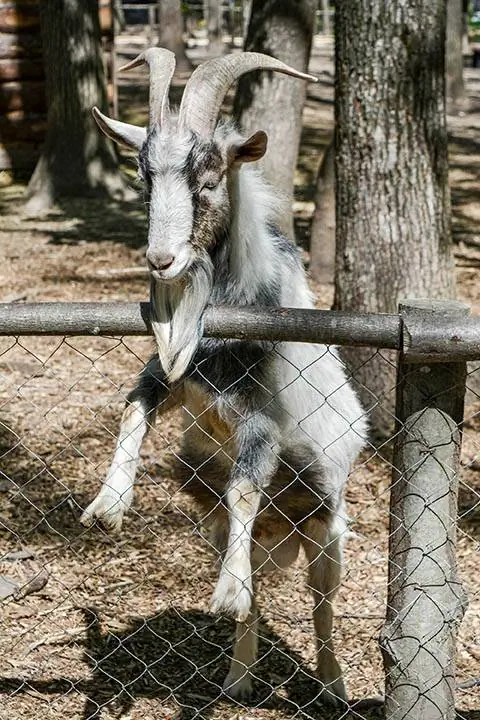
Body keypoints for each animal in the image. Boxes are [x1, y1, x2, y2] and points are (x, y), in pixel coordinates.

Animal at [81, 49, 368, 704]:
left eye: (208, 180)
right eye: (144, 181)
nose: (161, 260)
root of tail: (281, 535)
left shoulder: (262, 422)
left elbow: (243, 483)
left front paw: (225, 591)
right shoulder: (176, 374)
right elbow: (132, 406)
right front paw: (108, 505)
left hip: (329, 531)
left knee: (321, 603)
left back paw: (333, 684)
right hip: (223, 528)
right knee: (259, 588)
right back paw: (238, 679)